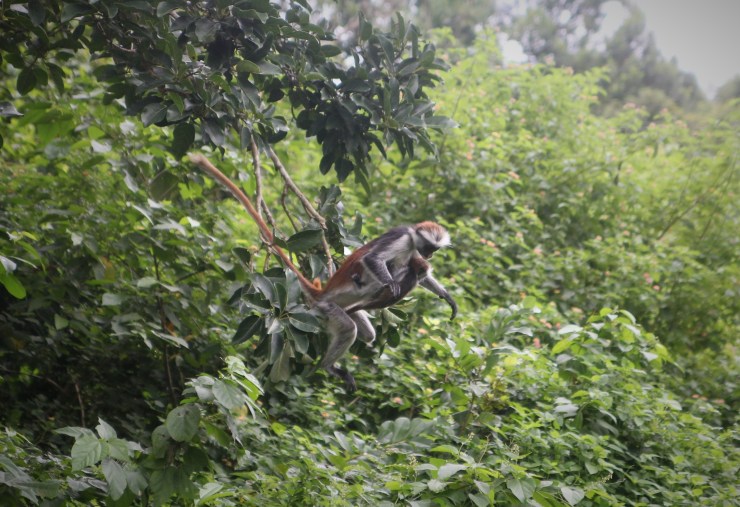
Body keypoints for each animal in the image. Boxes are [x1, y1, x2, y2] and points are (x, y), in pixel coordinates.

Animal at [189, 154, 457, 392]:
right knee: (350, 327)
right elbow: (374, 260)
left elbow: (421, 273)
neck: (412, 240)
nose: (430, 255)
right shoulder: (402, 238)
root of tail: (321, 295)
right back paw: (329, 366)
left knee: (367, 332)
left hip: (338, 311)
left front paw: (445, 296)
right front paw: (391, 283)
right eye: (429, 246)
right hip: (328, 309)